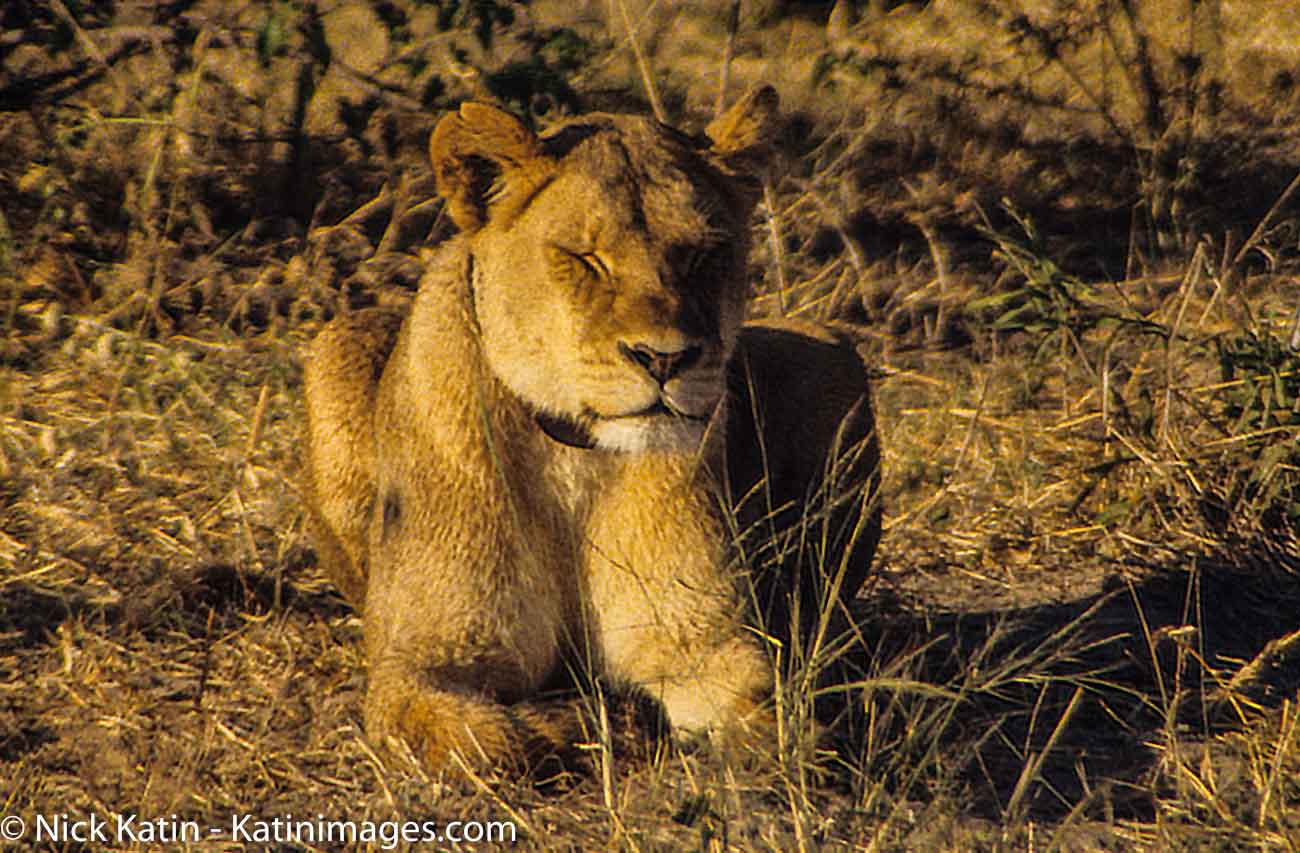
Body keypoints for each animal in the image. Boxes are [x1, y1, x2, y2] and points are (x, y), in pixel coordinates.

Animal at [302, 87, 881, 780]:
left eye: (704, 255)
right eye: (584, 259)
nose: (664, 359)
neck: (573, 456)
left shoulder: (701, 640)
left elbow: (771, 718)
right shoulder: (417, 666)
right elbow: (488, 739)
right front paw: (589, 717)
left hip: (832, 356)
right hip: (336, 345)